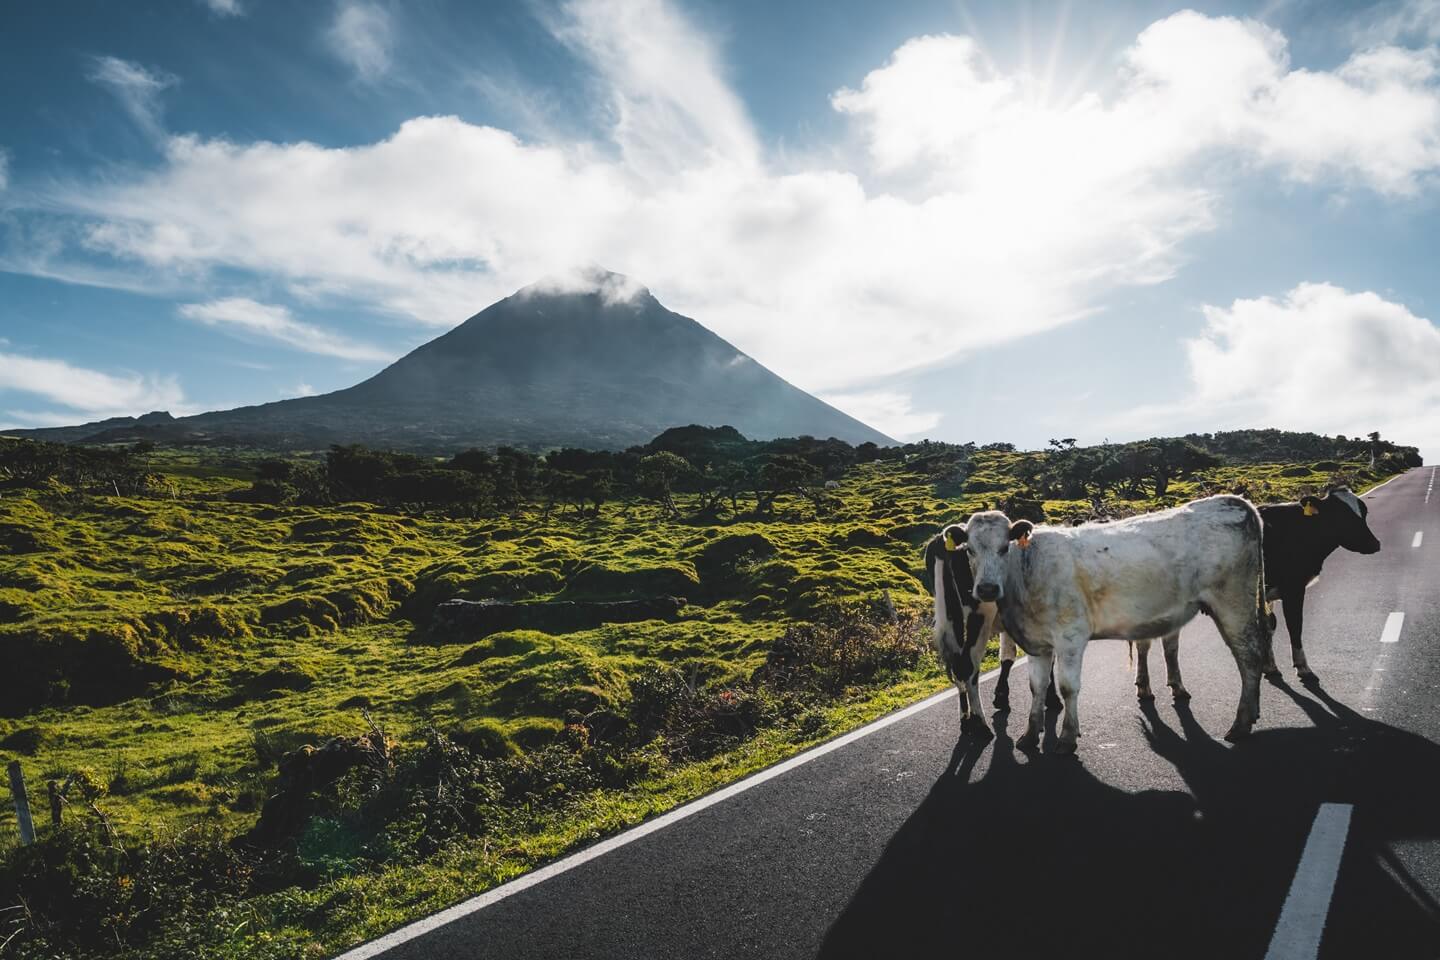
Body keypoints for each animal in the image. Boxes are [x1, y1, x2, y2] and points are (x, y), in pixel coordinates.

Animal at [961, 500, 1267, 754]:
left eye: (1004, 547)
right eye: (969, 550)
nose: (986, 589)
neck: (1027, 572)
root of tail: (1234, 501)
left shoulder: (1070, 636)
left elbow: (1067, 687)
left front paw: (1067, 737)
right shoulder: (1038, 643)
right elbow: (1037, 687)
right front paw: (1029, 735)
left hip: (1234, 603)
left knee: (1250, 657)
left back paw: (1240, 725)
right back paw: (1249, 715)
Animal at [1128, 489, 1376, 699]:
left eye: (1363, 513)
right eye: (1341, 514)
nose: (1374, 544)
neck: (1300, 530)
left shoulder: (1266, 593)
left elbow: (1268, 626)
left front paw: (1270, 667)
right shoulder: (1294, 589)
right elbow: (1295, 626)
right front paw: (1303, 668)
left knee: (1164, 644)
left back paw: (1170, 687)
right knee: (1148, 644)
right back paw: (1149, 687)